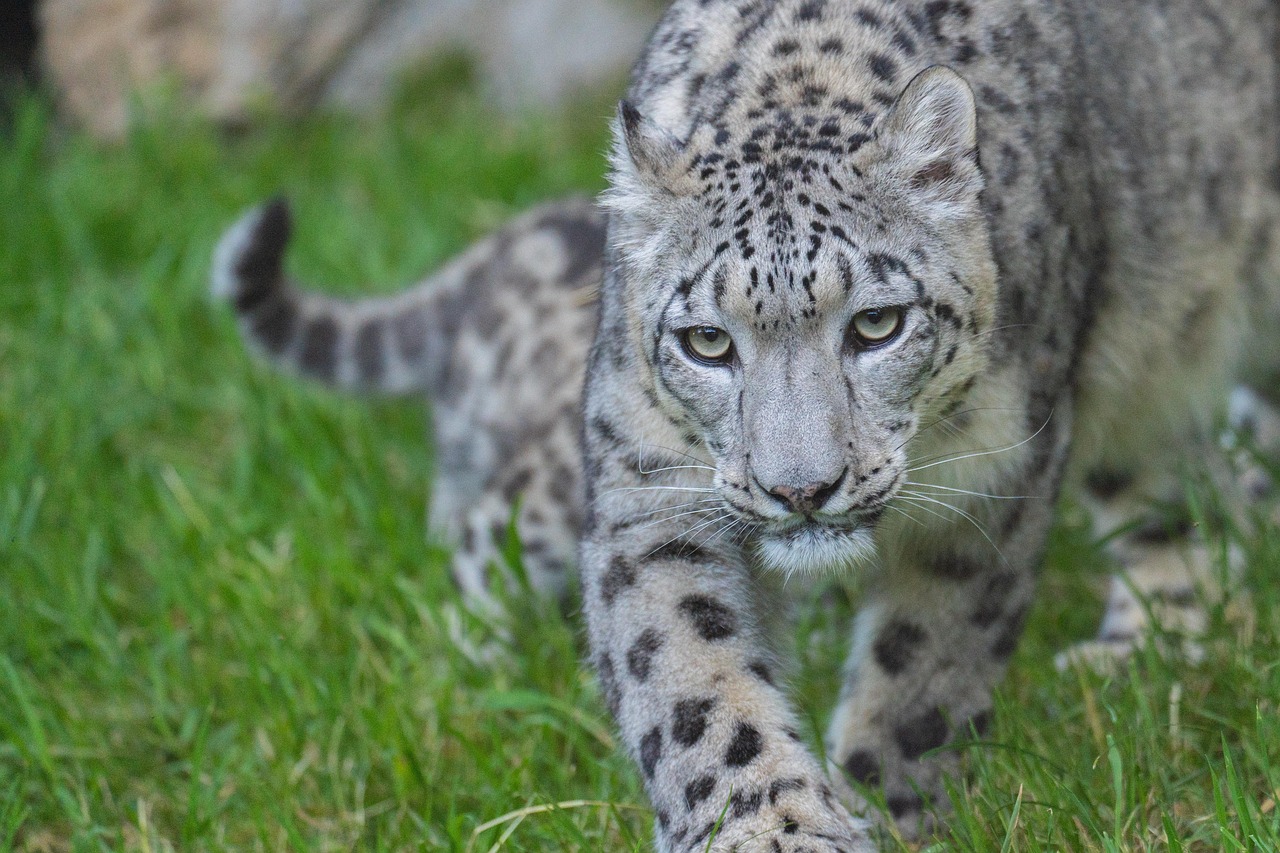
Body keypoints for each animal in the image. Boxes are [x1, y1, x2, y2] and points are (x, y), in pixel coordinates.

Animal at [213, 0, 1280, 848]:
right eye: (706, 341)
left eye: (877, 324)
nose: (800, 488)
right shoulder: (650, 487)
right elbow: (689, 676)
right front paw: (774, 825)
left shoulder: (989, 484)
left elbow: (921, 675)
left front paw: (883, 805)